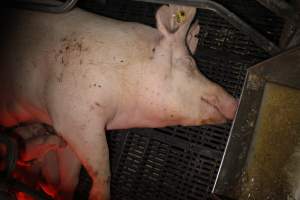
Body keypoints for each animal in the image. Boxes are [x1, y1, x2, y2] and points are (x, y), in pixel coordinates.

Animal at [1, 3, 238, 200]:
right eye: (189, 63)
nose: (235, 103)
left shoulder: (69, 125)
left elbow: (71, 176)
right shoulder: (75, 115)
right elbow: (102, 164)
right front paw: (100, 195)